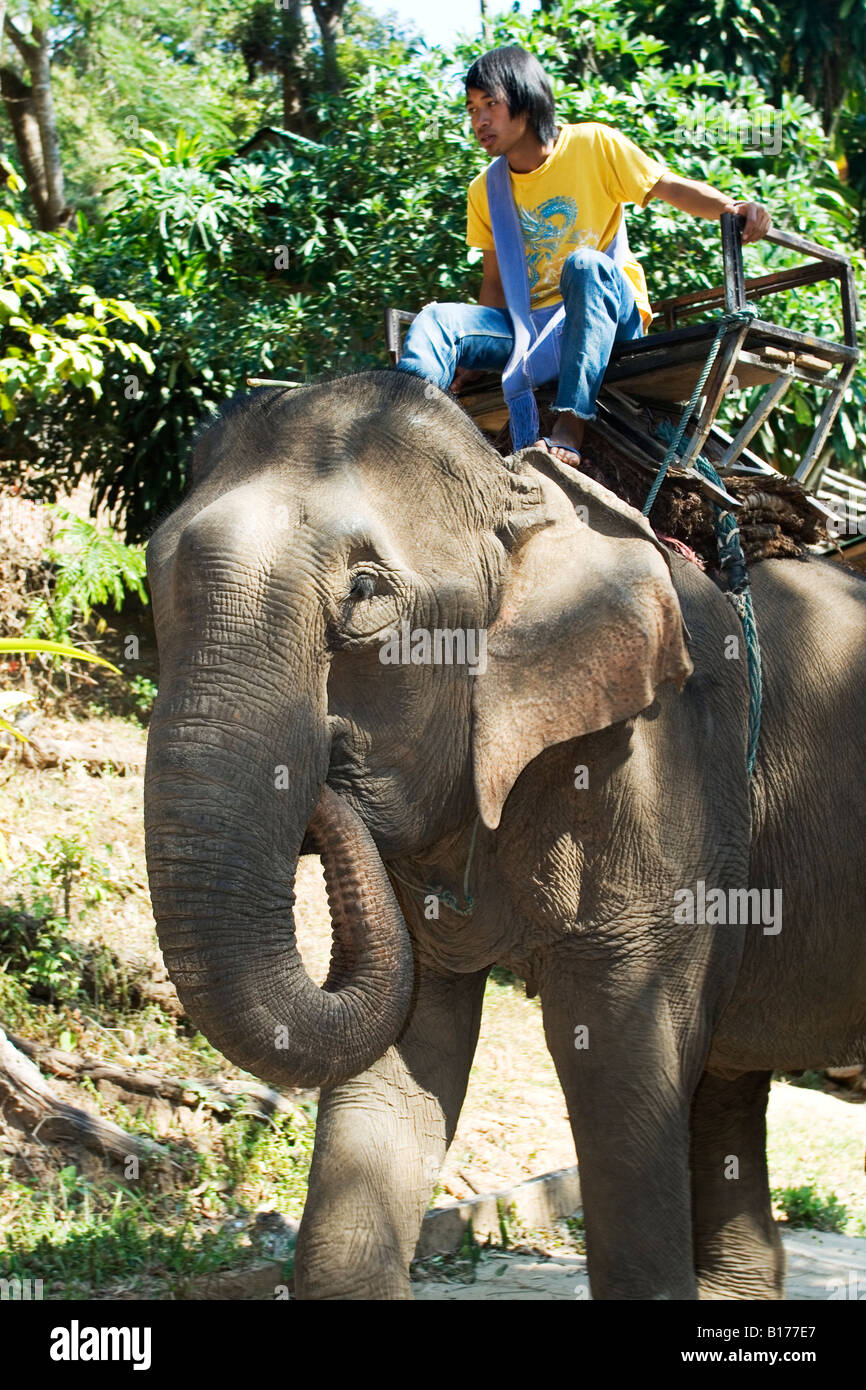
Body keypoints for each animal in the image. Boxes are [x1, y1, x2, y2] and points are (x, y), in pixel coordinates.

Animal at [144, 368, 866, 1301]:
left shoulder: (669, 767)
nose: (329, 778)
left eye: (365, 594)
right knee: (729, 1085)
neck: (520, 495)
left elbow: (622, 1072)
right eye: (151, 573)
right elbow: (403, 1068)